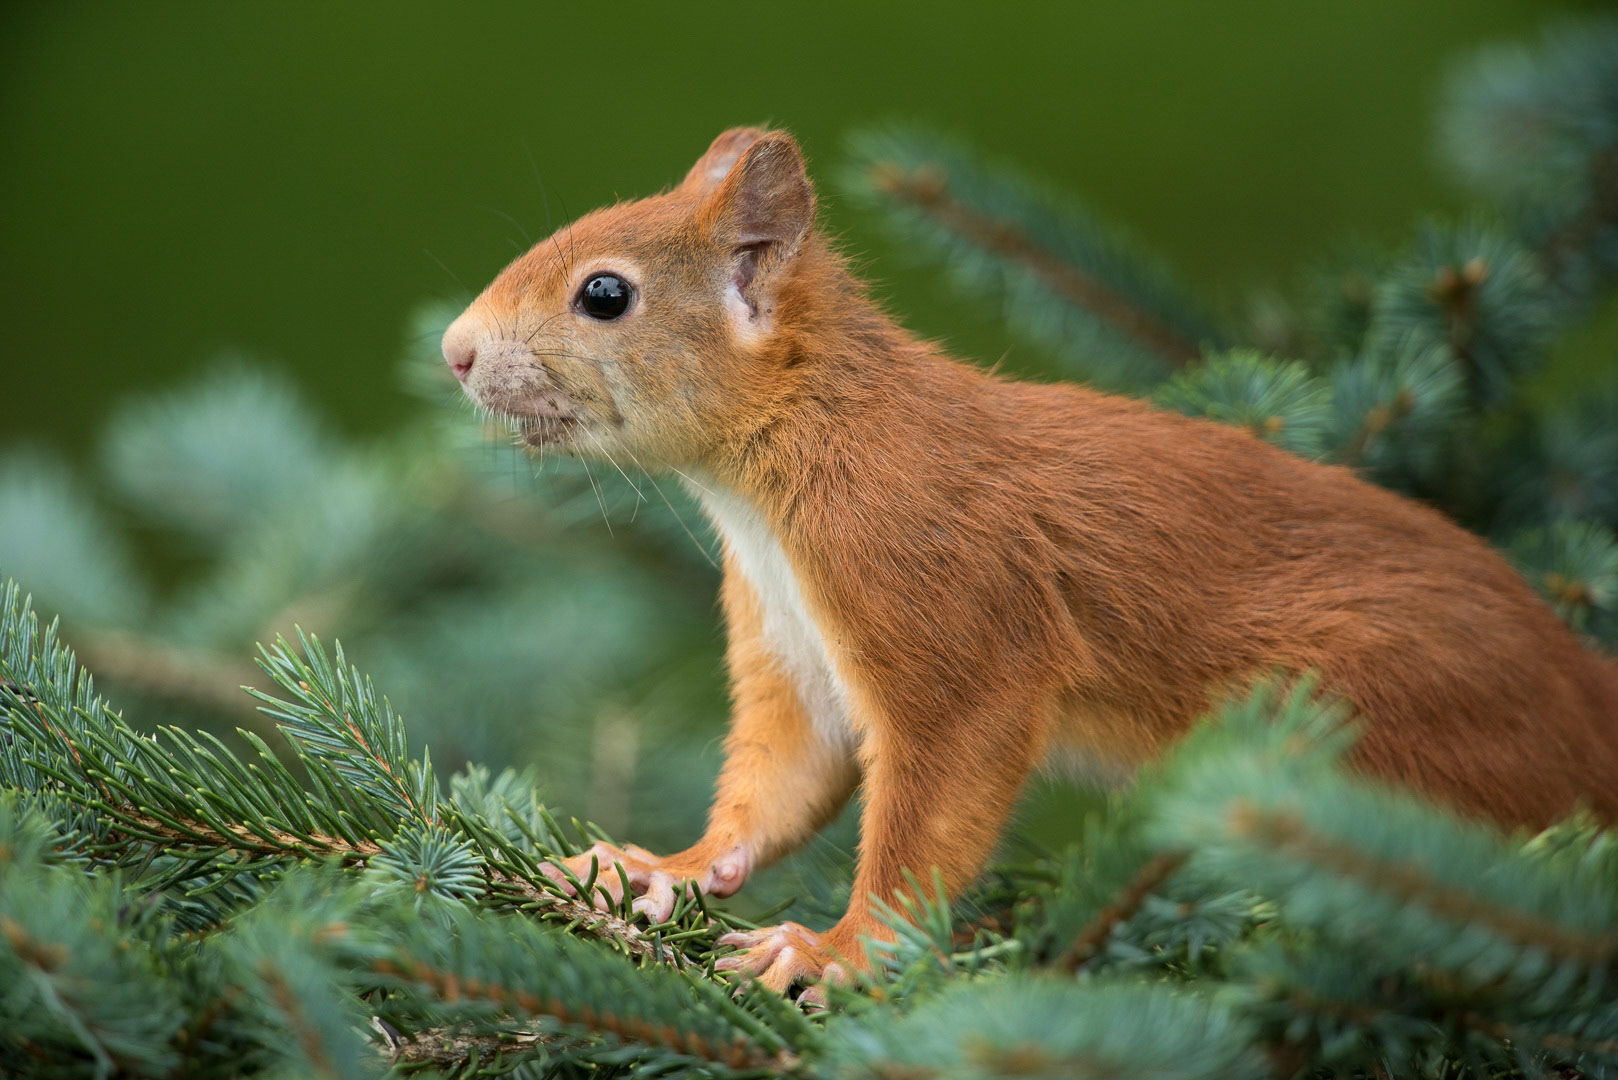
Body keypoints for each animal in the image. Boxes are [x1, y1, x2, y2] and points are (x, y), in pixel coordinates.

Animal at [441, 127, 1618, 1002]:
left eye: (605, 294)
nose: (453, 350)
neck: (780, 476)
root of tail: (1582, 696)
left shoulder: (937, 592)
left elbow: (934, 802)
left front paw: (833, 953)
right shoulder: (788, 642)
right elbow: (780, 782)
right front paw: (658, 870)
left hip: (1380, 708)